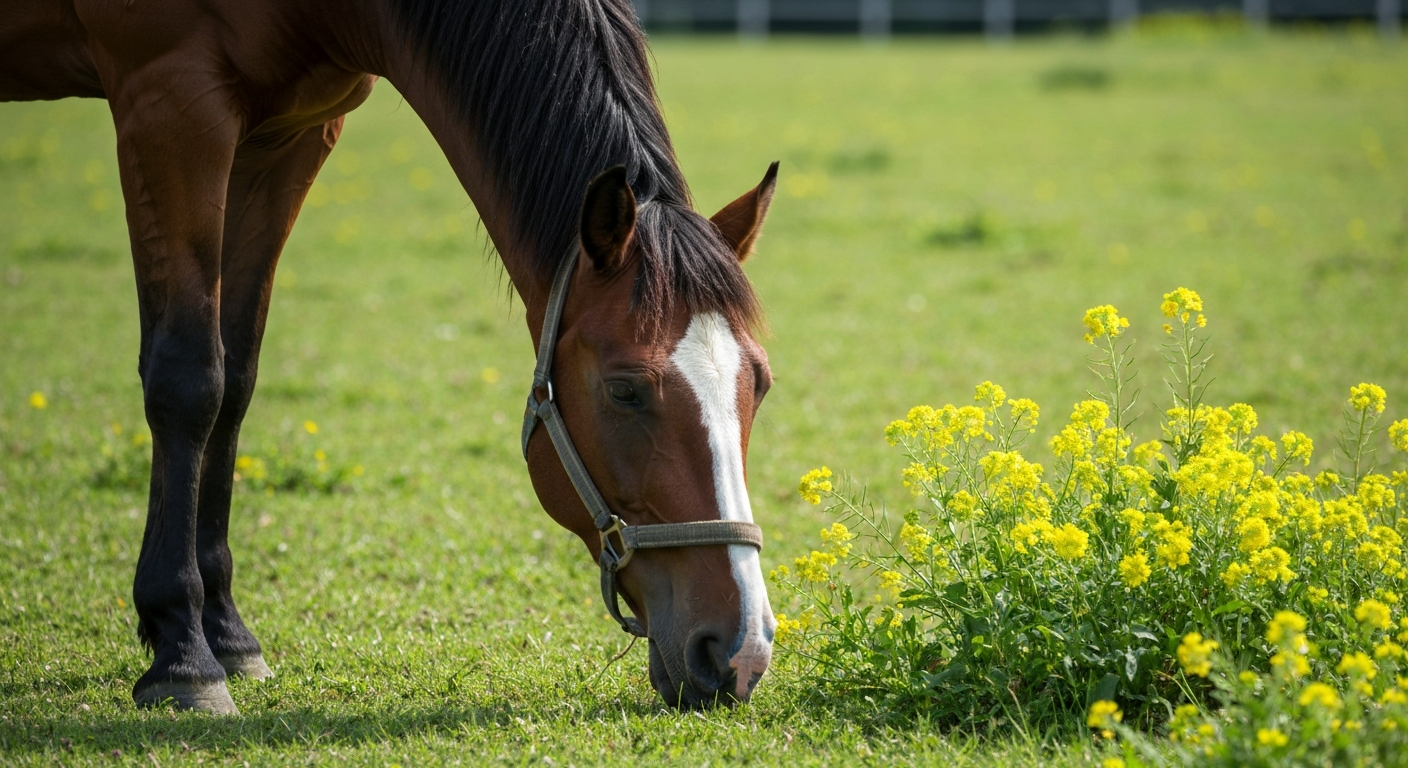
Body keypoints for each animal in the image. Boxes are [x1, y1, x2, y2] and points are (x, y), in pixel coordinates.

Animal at [1, 0, 780, 713]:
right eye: (624, 390)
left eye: (761, 384)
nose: (740, 650)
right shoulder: (169, 100)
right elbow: (189, 380)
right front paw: (183, 655)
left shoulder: (290, 134)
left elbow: (236, 377)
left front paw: (226, 634)